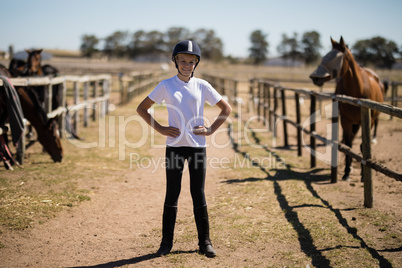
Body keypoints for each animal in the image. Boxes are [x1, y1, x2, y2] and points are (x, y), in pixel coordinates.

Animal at [310, 36, 384, 181]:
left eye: (336, 58)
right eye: (324, 56)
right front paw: (346, 172)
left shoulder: (368, 121)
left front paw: (363, 175)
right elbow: (348, 145)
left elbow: (362, 146)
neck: (357, 90)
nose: (315, 77)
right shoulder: (346, 120)